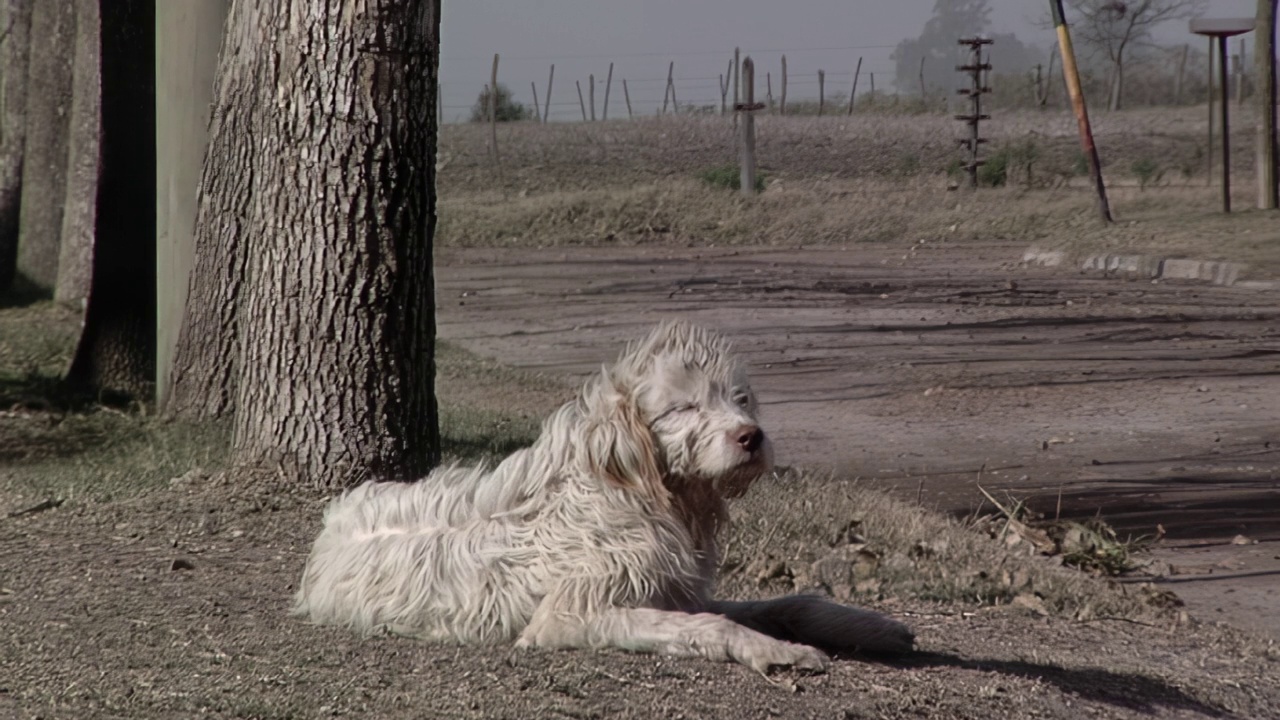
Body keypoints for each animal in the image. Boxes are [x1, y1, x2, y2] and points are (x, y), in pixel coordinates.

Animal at [293, 322, 911, 671]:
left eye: (740, 399)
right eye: (683, 407)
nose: (751, 437)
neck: (635, 493)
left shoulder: (675, 589)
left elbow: (786, 603)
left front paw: (872, 627)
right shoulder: (568, 616)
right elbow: (711, 627)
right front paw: (776, 651)